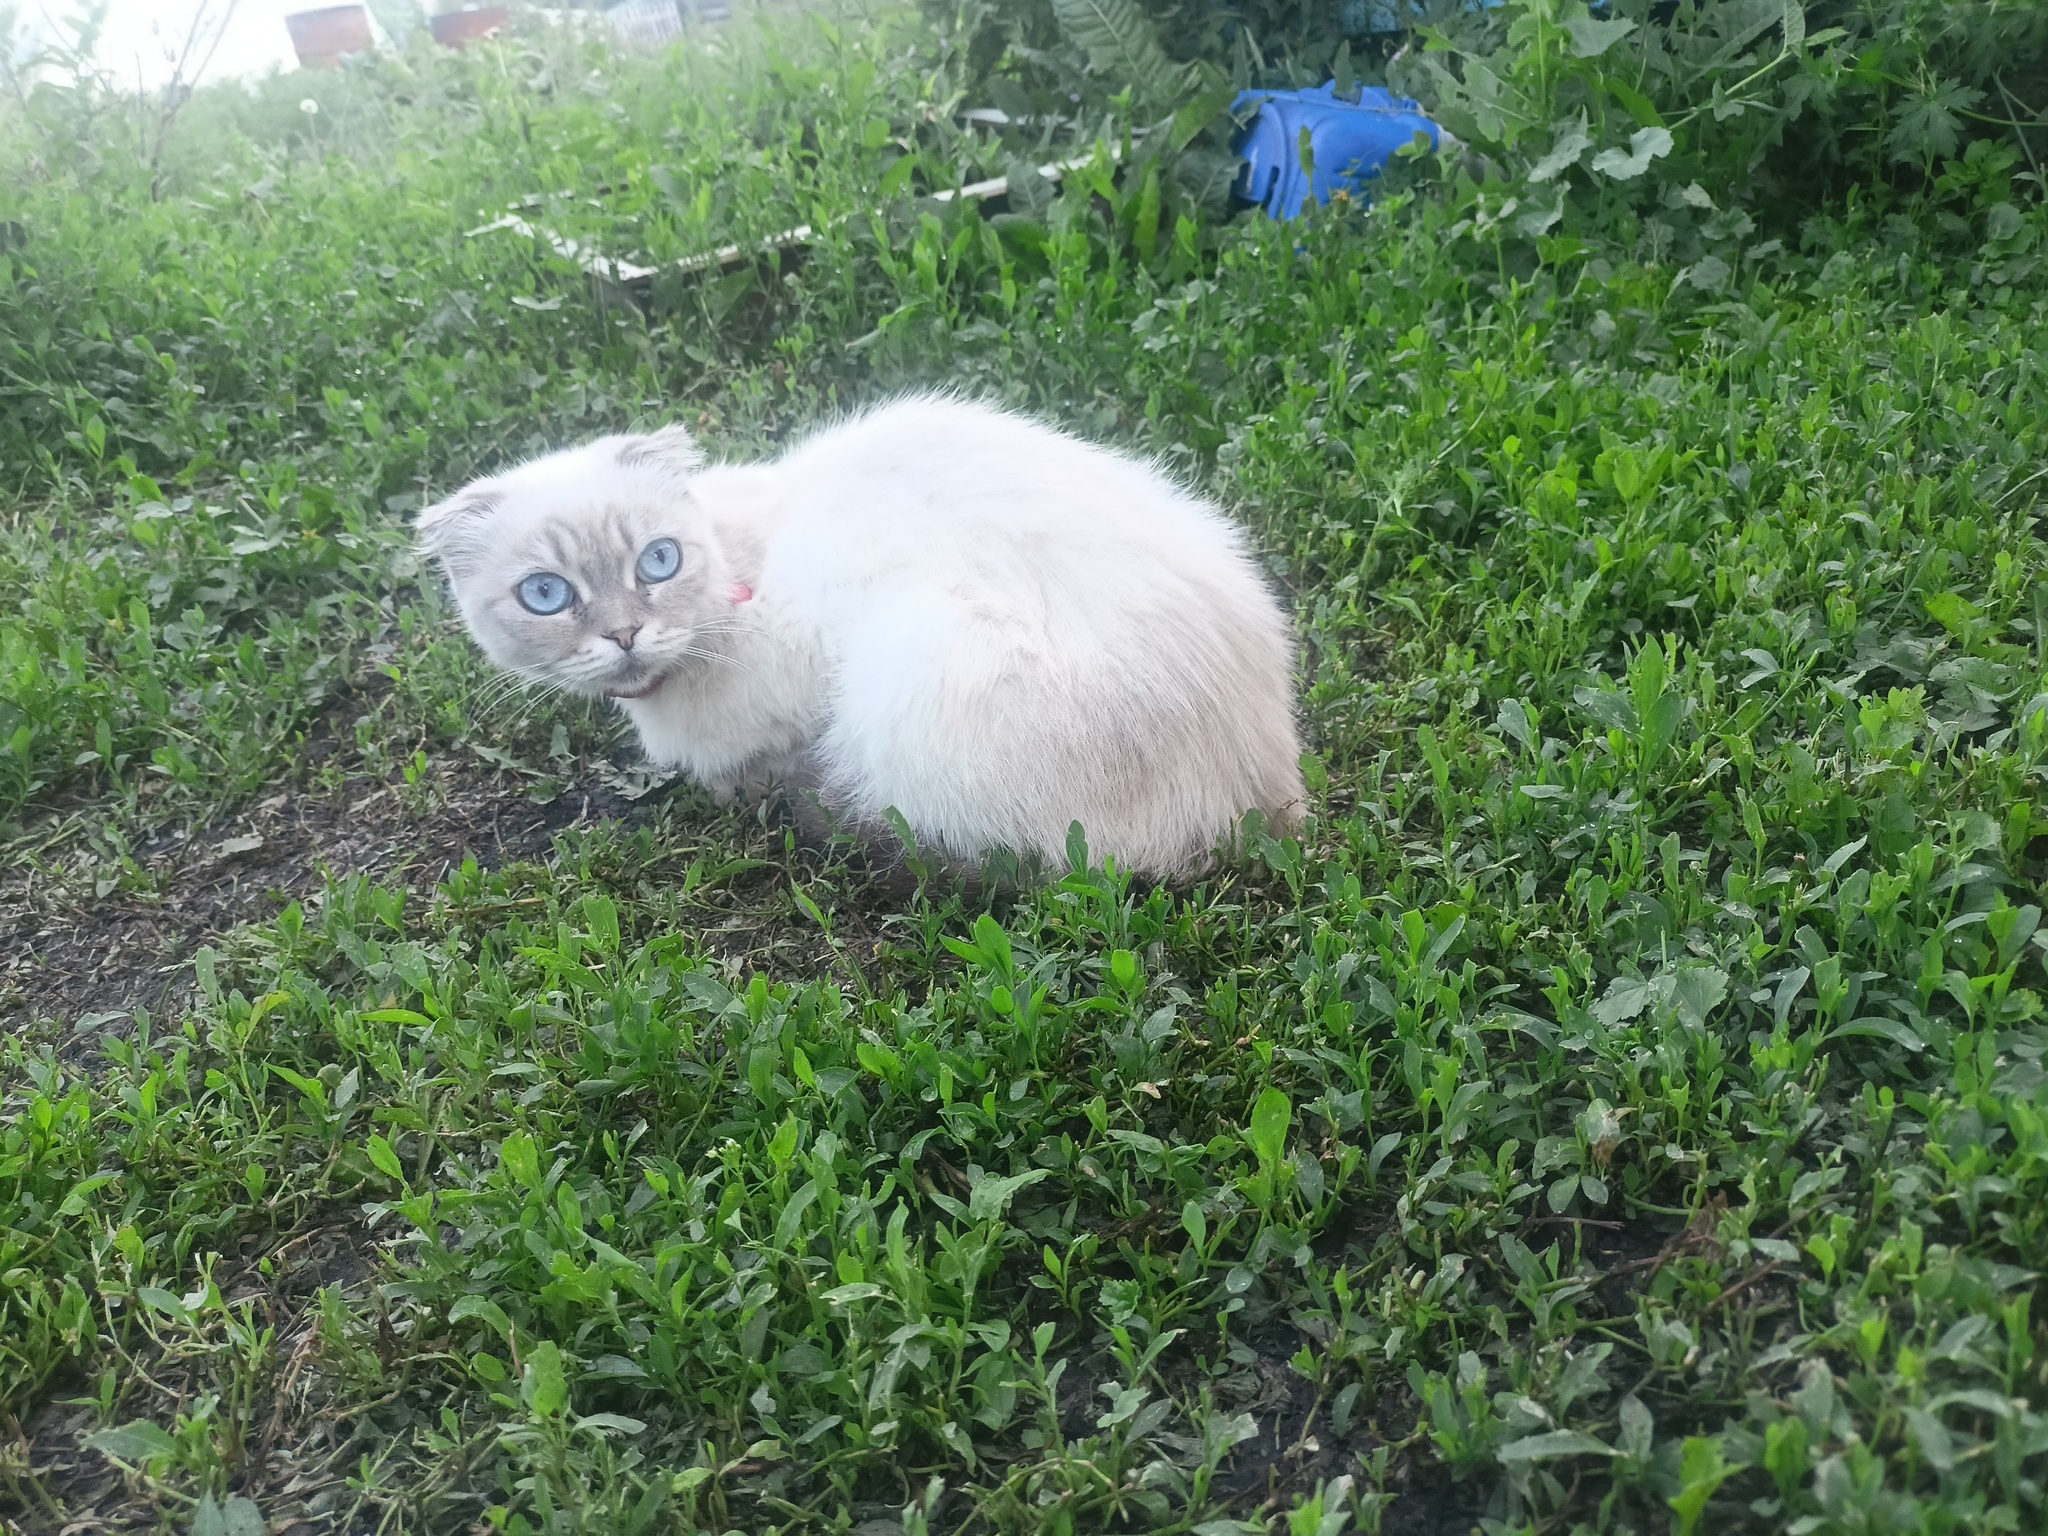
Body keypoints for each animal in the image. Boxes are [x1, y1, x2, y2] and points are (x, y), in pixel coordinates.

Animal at [419, 397, 1294, 876]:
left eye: (657, 561)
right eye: (546, 595)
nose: (628, 633)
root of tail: (1270, 801)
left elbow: (769, 756)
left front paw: (750, 791)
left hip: (909, 668)